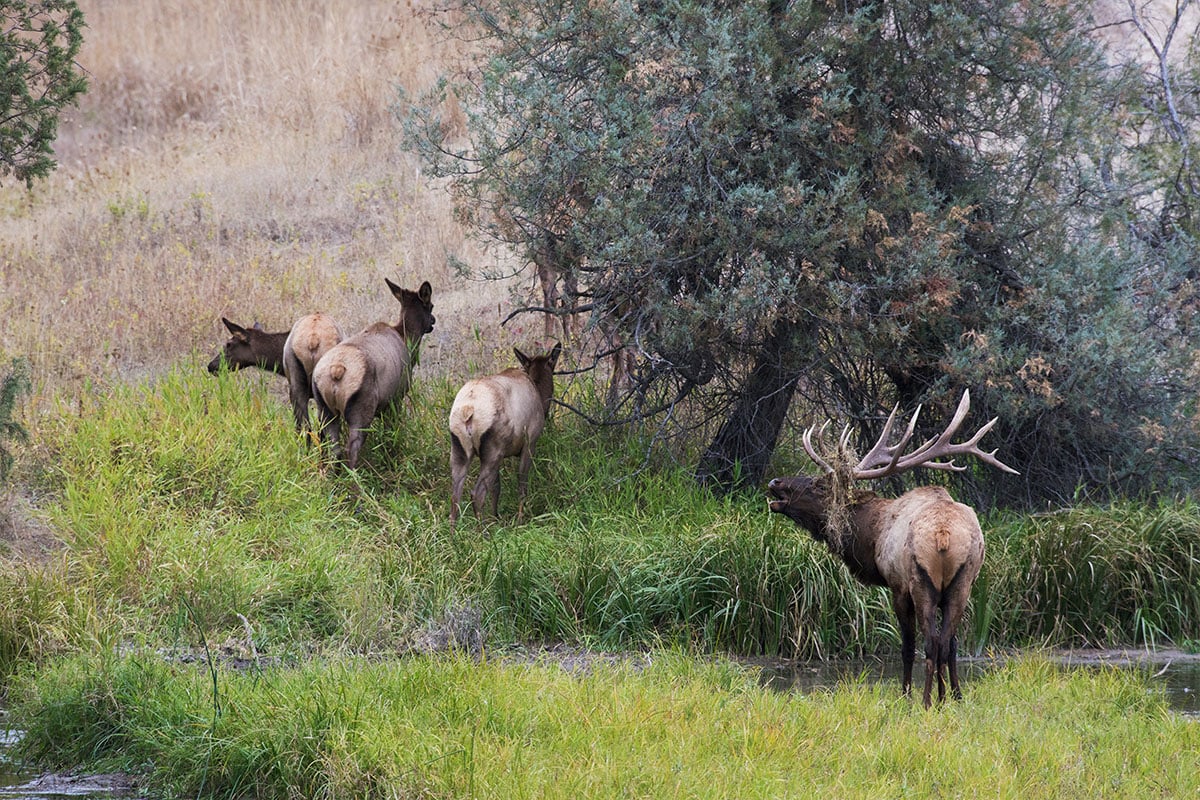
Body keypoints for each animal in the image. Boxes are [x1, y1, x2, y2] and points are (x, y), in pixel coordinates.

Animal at [314, 280, 436, 470]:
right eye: (430, 305)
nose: (433, 321)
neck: (407, 339)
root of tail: (336, 370)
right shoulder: (395, 398)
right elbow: (391, 434)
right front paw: (392, 460)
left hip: (325, 408)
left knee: (333, 448)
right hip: (361, 408)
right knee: (351, 449)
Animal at [451, 343, 561, 525]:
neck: (540, 394)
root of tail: (469, 409)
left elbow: (496, 488)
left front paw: (496, 518)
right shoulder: (530, 443)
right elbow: (521, 484)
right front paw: (520, 519)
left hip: (460, 448)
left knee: (455, 496)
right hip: (492, 450)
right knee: (476, 494)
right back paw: (483, 531)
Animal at [768, 391, 1012, 710]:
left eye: (820, 486)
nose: (775, 482)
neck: (873, 537)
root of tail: (943, 535)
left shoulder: (897, 587)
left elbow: (907, 647)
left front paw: (906, 694)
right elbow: (953, 645)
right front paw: (953, 697)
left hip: (921, 582)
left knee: (929, 643)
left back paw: (925, 702)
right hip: (963, 583)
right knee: (946, 642)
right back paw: (945, 698)